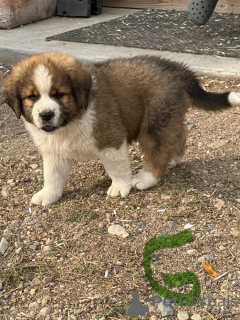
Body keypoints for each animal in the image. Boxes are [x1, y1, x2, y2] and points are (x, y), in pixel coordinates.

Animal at [2, 52, 240, 205]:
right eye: (32, 97)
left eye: (59, 94)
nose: (46, 115)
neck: (73, 119)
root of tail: (178, 70)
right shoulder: (54, 150)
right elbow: (52, 174)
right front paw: (49, 194)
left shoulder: (110, 138)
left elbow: (116, 166)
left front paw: (120, 186)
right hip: (168, 116)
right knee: (178, 133)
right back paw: (173, 158)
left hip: (153, 122)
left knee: (158, 149)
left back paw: (146, 177)